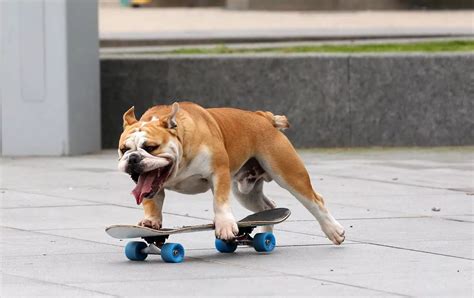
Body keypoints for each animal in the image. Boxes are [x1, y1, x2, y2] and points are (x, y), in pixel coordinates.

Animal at [115, 102, 344, 244]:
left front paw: (224, 226)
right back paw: (265, 234)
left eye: (150, 147)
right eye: (124, 149)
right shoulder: (150, 181)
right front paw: (150, 222)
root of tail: (262, 117)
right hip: (244, 191)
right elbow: (152, 200)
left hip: (288, 173)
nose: (133, 158)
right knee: (266, 207)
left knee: (314, 201)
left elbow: (220, 202)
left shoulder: (219, 172)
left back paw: (334, 231)